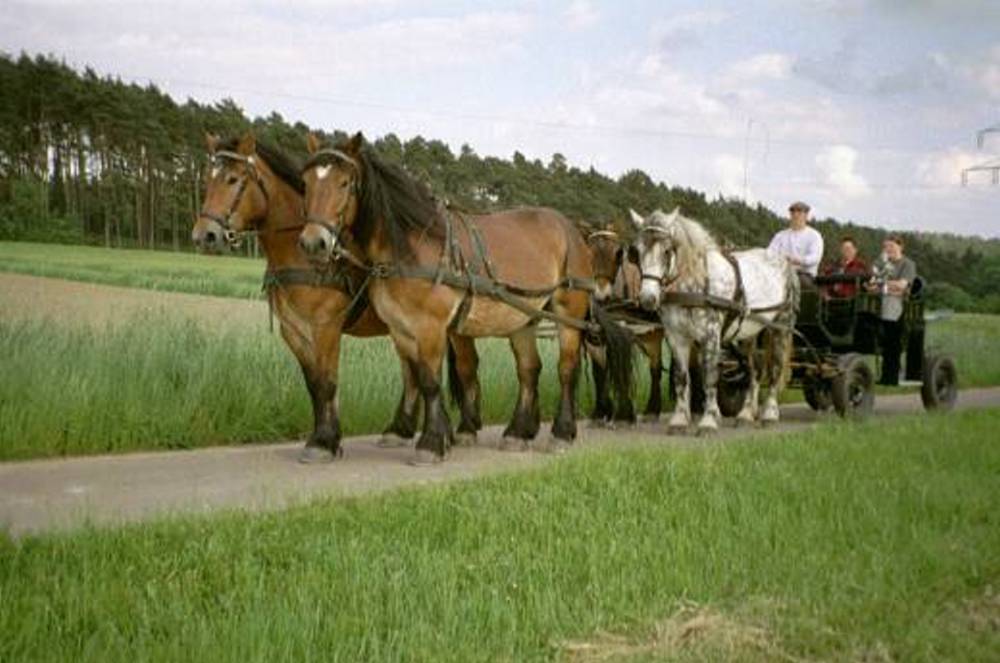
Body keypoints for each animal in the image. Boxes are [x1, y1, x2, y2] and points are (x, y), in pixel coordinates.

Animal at [191, 130, 484, 462]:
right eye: (208, 178)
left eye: (233, 179)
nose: (203, 235)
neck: (301, 256)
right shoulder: (294, 331)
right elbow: (314, 384)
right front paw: (326, 437)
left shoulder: (326, 328)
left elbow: (328, 382)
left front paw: (324, 442)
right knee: (412, 372)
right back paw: (402, 429)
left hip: (454, 329)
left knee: (466, 367)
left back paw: (465, 428)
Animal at [294, 134, 632, 466]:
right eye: (306, 183)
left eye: (344, 183)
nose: (313, 243)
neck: (411, 247)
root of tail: (571, 229)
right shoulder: (401, 330)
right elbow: (417, 376)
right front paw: (441, 435)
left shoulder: (430, 327)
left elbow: (429, 380)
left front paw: (431, 444)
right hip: (524, 316)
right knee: (529, 369)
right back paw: (517, 433)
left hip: (569, 312)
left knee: (566, 369)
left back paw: (562, 433)